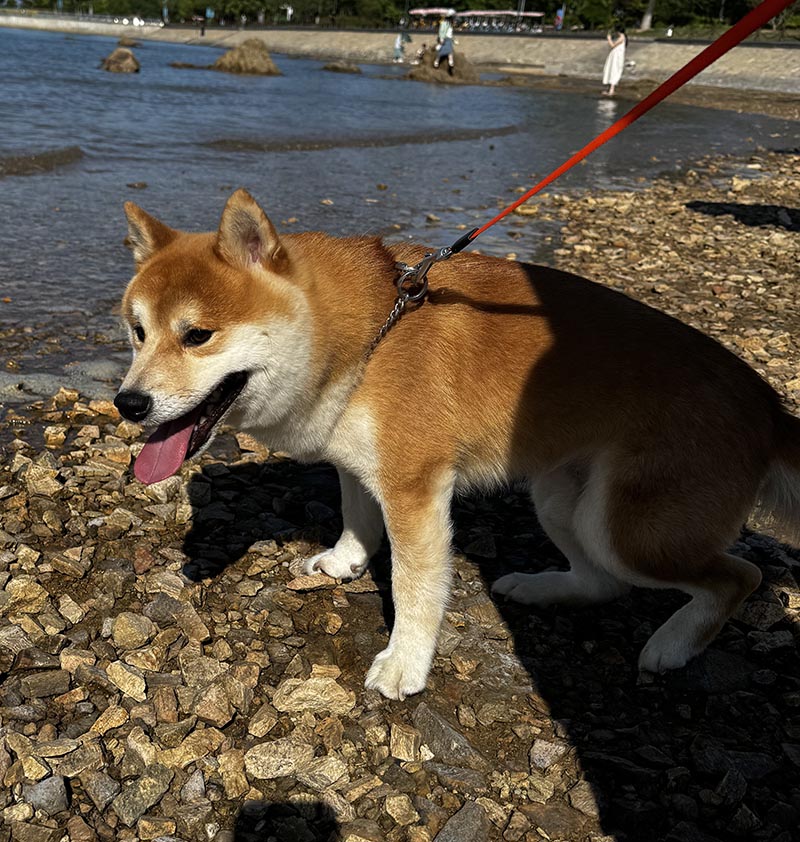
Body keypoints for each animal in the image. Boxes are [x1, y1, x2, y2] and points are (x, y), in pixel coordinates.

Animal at [115, 189, 800, 696]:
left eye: (197, 335)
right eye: (137, 332)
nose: (128, 404)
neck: (368, 335)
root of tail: (769, 407)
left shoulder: (415, 488)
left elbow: (416, 588)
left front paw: (405, 665)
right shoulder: (360, 467)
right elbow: (357, 519)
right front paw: (344, 562)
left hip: (631, 530)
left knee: (738, 577)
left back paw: (672, 644)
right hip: (564, 500)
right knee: (604, 581)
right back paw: (543, 587)